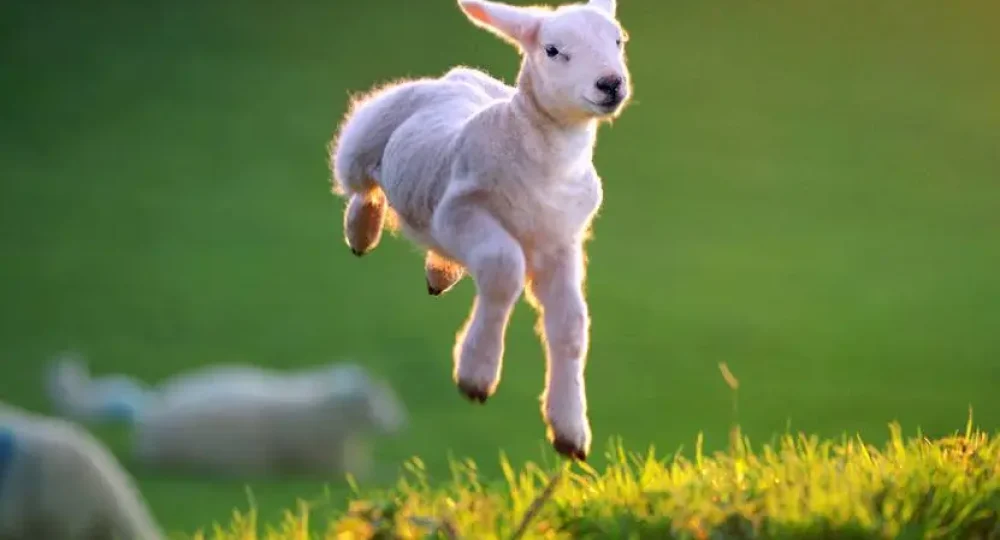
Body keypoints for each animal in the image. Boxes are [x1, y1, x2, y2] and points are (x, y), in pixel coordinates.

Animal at [329, 0, 632, 460]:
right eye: (553, 50)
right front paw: (477, 373)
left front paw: (570, 430)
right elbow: (503, 268)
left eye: (618, 41)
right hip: (363, 141)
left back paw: (438, 274)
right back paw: (361, 233)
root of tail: (454, 77)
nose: (611, 83)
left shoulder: (561, 242)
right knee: (363, 188)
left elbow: (571, 325)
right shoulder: (459, 211)